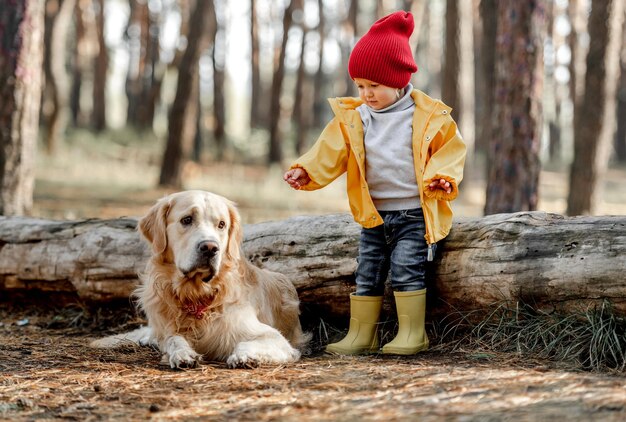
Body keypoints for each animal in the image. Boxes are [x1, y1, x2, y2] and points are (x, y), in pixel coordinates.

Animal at [90, 190, 308, 368]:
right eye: (187, 220)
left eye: (222, 224)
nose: (210, 248)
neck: (198, 294)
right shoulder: (170, 330)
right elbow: (173, 339)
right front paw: (182, 354)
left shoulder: (277, 339)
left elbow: (246, 343)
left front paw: (245, 357)